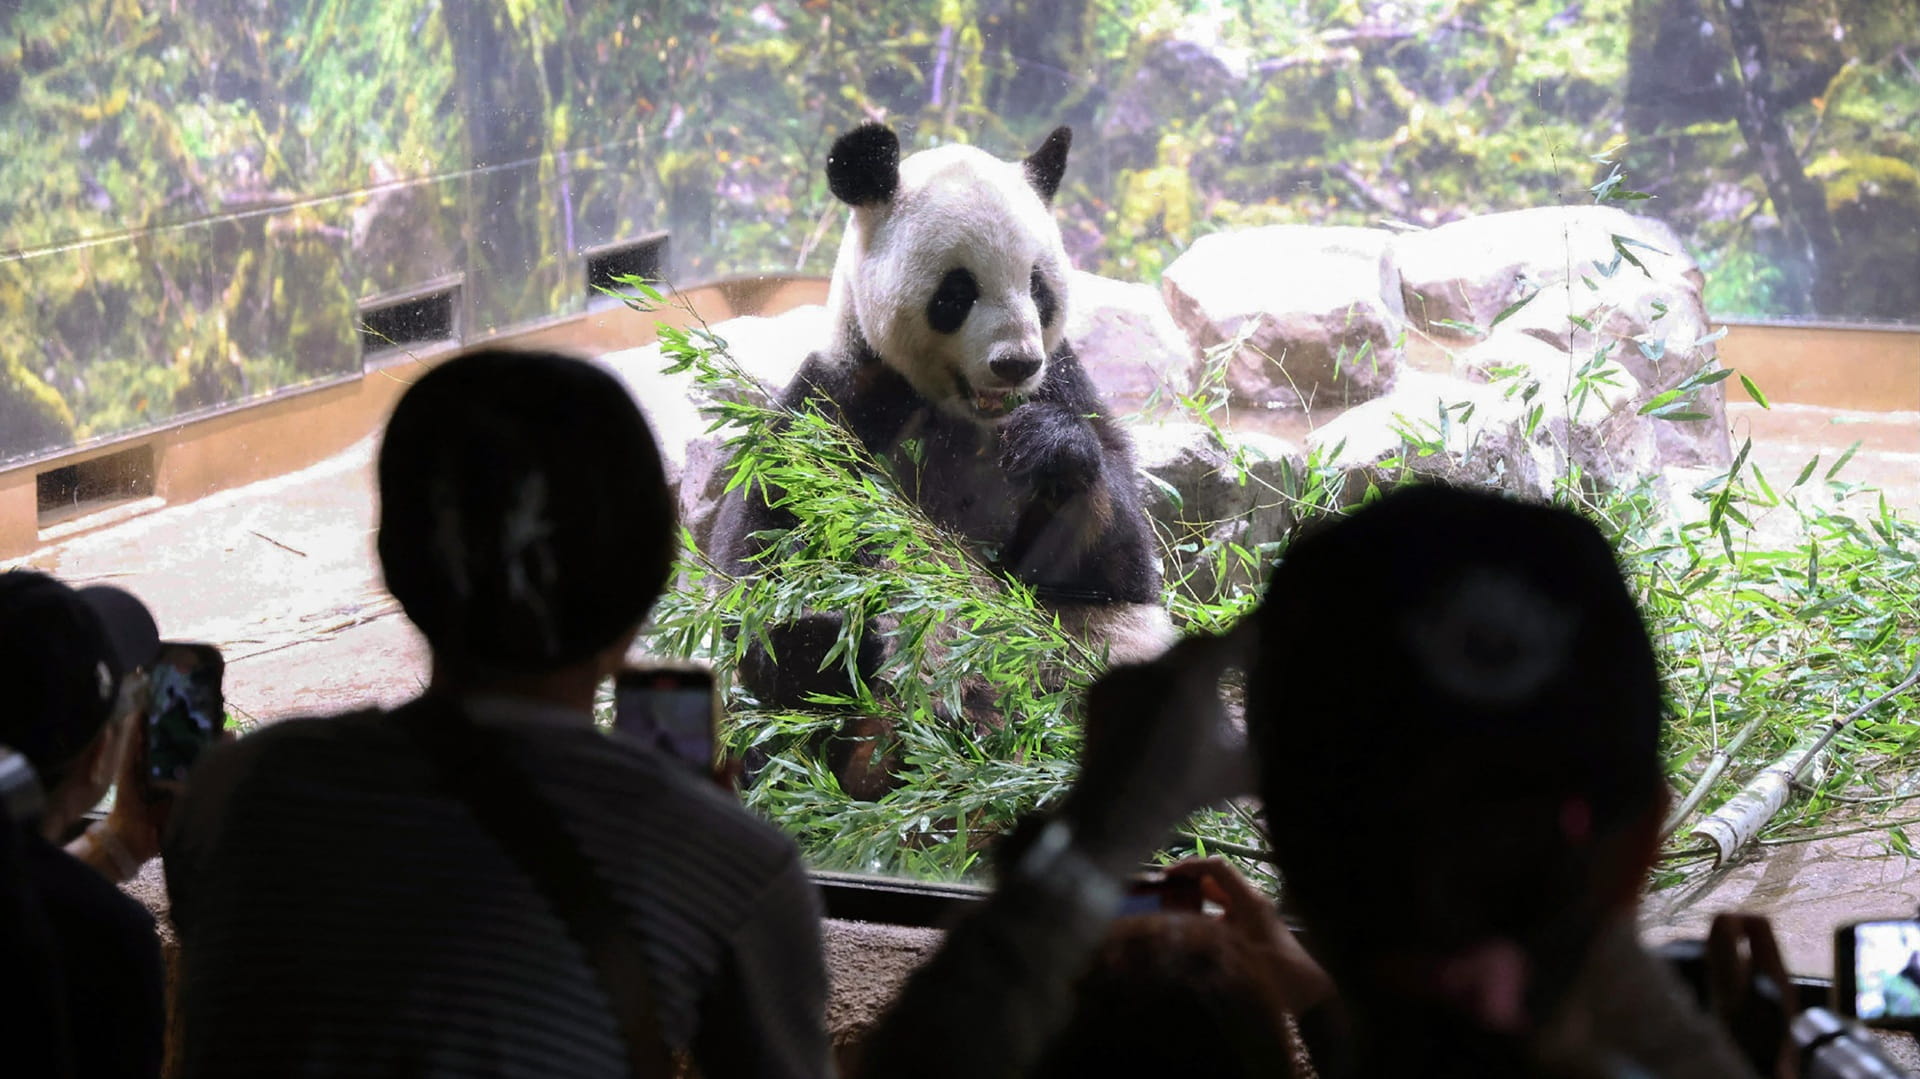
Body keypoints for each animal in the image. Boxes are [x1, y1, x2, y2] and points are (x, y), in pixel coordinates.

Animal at [712, 122, 1172, 795]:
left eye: (1038, 286)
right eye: (958, 292)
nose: (1016, 363)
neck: (964, 412)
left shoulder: (1065, 383)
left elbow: (1119, 562)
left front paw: (1049, 448)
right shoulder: (841, 402)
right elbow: (761, 557)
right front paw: (817, 624)